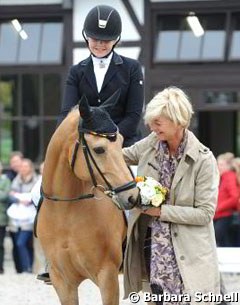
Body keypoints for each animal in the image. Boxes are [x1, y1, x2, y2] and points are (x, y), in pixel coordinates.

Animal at [37, 92, 139, 304]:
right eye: (99, 149)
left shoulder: (107, 276)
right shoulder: (62, 282)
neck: (65, 212)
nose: (132, 197)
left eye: (121, 142)